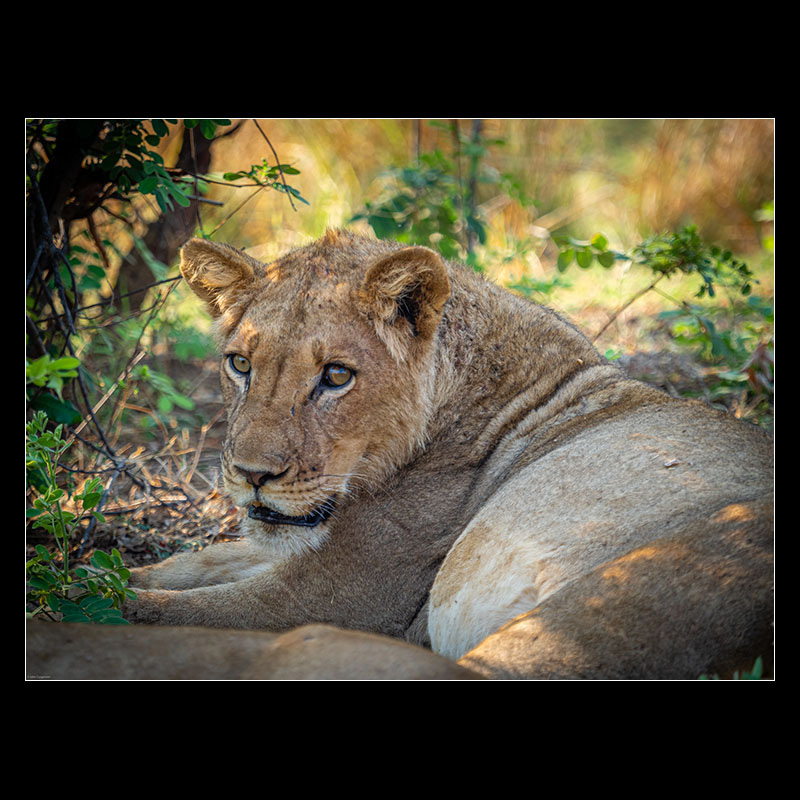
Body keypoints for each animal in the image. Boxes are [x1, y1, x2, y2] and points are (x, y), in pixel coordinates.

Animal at [115, 231, 772, 680]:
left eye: (336, 376)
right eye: (240, 364)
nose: (252, 476)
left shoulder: (335, 595)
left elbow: (152, 610)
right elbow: (187, 566)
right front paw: (101, 571)